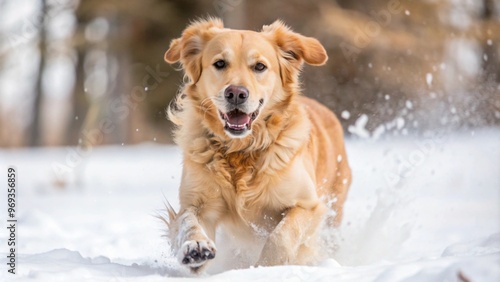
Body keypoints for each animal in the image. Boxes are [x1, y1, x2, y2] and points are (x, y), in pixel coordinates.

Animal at [162, 17, 350, 274]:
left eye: (259, 67)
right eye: (220, 63)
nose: (236, 93)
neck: (241, 150)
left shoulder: (309, 205)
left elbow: (280, 236)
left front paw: (266, 267)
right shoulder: (197, 202)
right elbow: (187, 221)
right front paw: (195, 247)